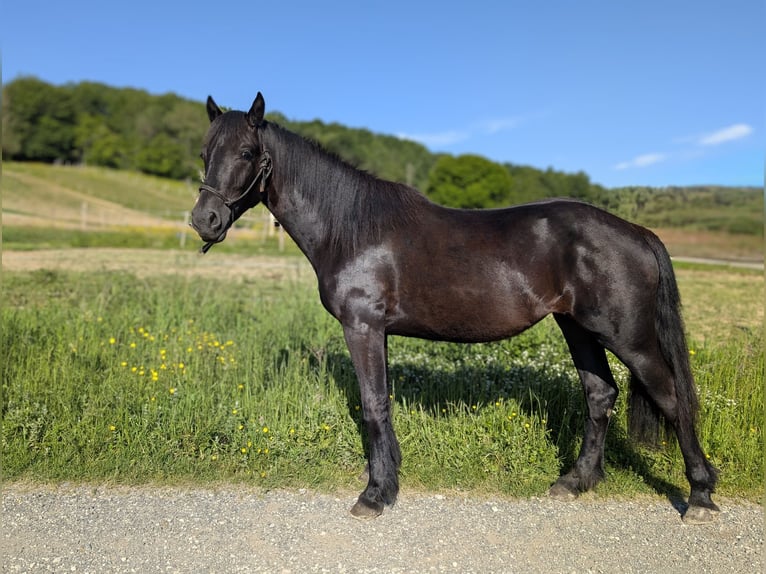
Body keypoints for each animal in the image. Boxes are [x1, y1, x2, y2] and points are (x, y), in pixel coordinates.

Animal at [190, 93, 719, 523]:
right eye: (204, 153)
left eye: (247, 153)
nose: (204, 220)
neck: (352, 228)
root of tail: (638, 233)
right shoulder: (377, 331)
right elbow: (382, 403)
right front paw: (388, 483)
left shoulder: (362, 326)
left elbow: (373, 405)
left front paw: (374, 496)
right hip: (578, 328)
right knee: (599, 394)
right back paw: (574, 482)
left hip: (628, 337)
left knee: (672, 397)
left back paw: (700, 496)